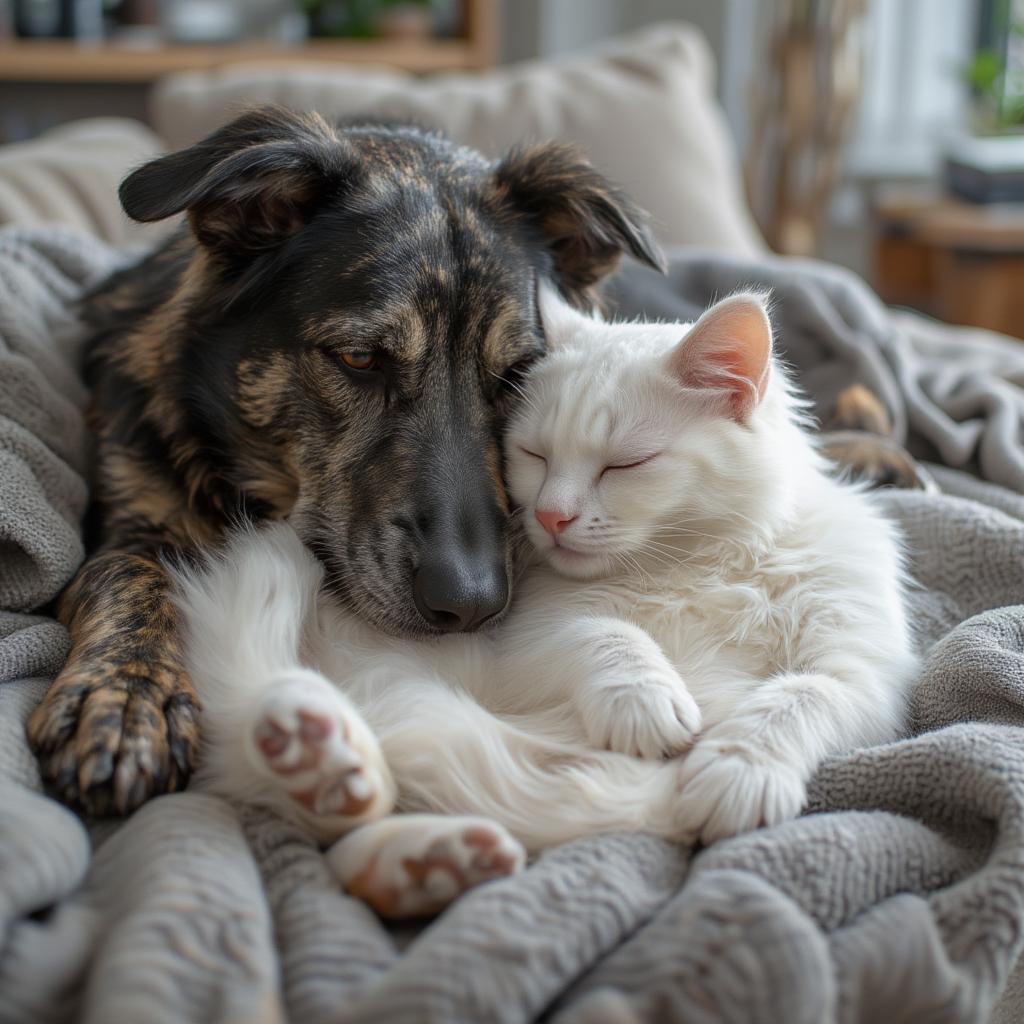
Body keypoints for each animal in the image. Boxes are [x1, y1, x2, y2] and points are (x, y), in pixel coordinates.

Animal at [28, 105, 663, 815]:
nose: (470, 605)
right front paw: (128, 699)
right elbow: (131, 575)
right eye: (360, 359)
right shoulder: (125, 520)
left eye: (518, 374)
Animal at [172, 288, 917, 921]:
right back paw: (322, 759)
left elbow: (796, 698)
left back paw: (411, 845)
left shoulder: (859, 670)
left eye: (625, 464)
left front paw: (737, 772)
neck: (693, 563)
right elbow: (609, 637)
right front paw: (649, 705)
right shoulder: (530, 634)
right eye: (532, 454)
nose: (550, 516)